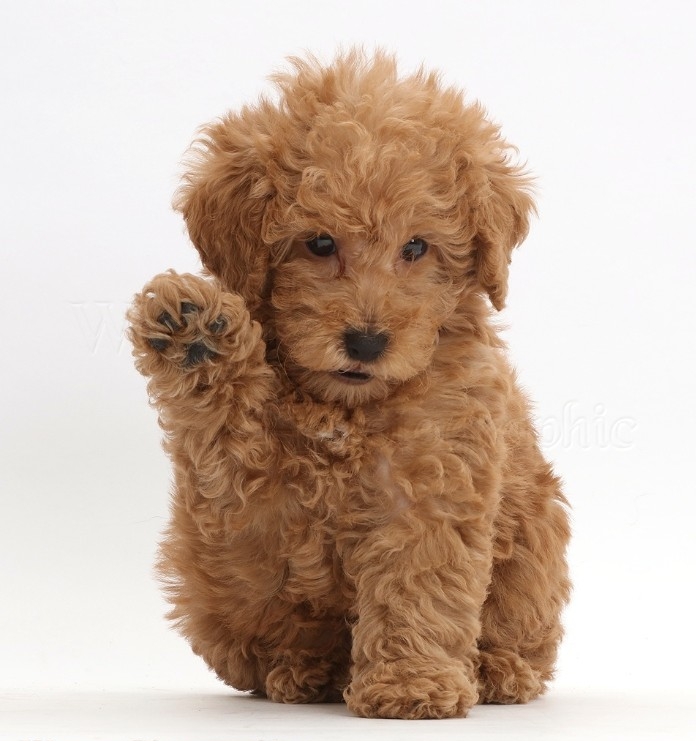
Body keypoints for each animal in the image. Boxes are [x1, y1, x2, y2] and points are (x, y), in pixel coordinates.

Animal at [128, 50, 568, 716]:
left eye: (415, 247)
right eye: (319, 243)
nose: (366, 342)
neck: (344, 408)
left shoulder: (433, 482)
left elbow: (418, 581)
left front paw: (412, 683)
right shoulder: (243, 511)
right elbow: (234, 444)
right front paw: (197, 337)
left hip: (535, 549)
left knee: (524, 632)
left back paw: (497, 670)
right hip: (207, 586)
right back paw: (303, 671)